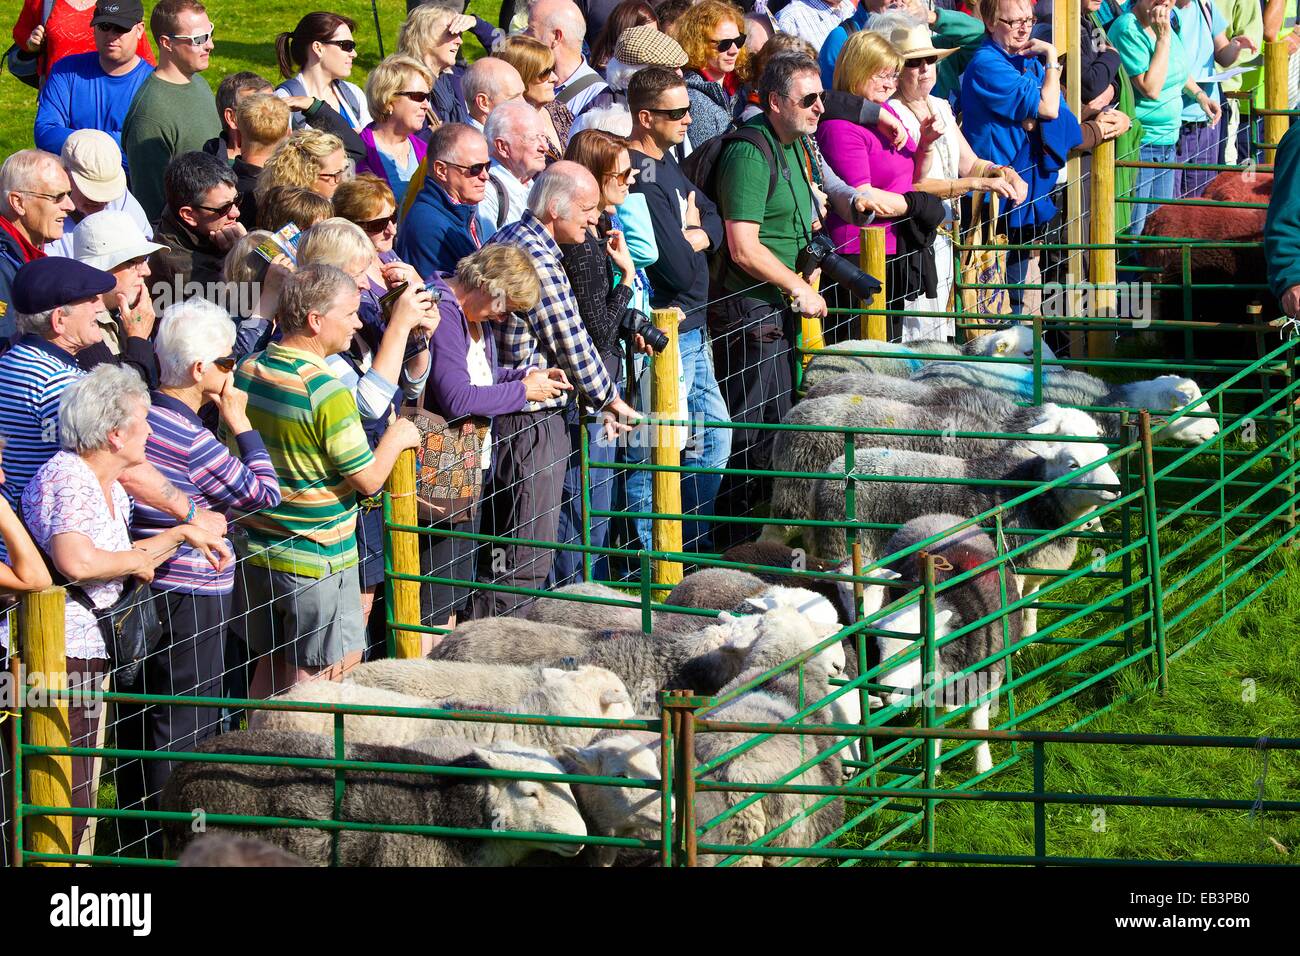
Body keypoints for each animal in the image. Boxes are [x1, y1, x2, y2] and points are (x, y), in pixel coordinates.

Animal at [806, 442, 1123, 621]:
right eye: (1073, 464)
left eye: (1105, 454)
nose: (1115, 488)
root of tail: (833, 470)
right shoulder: (1012, 568)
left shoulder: (1033, 571)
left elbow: (1030, 614)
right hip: (843, 546)